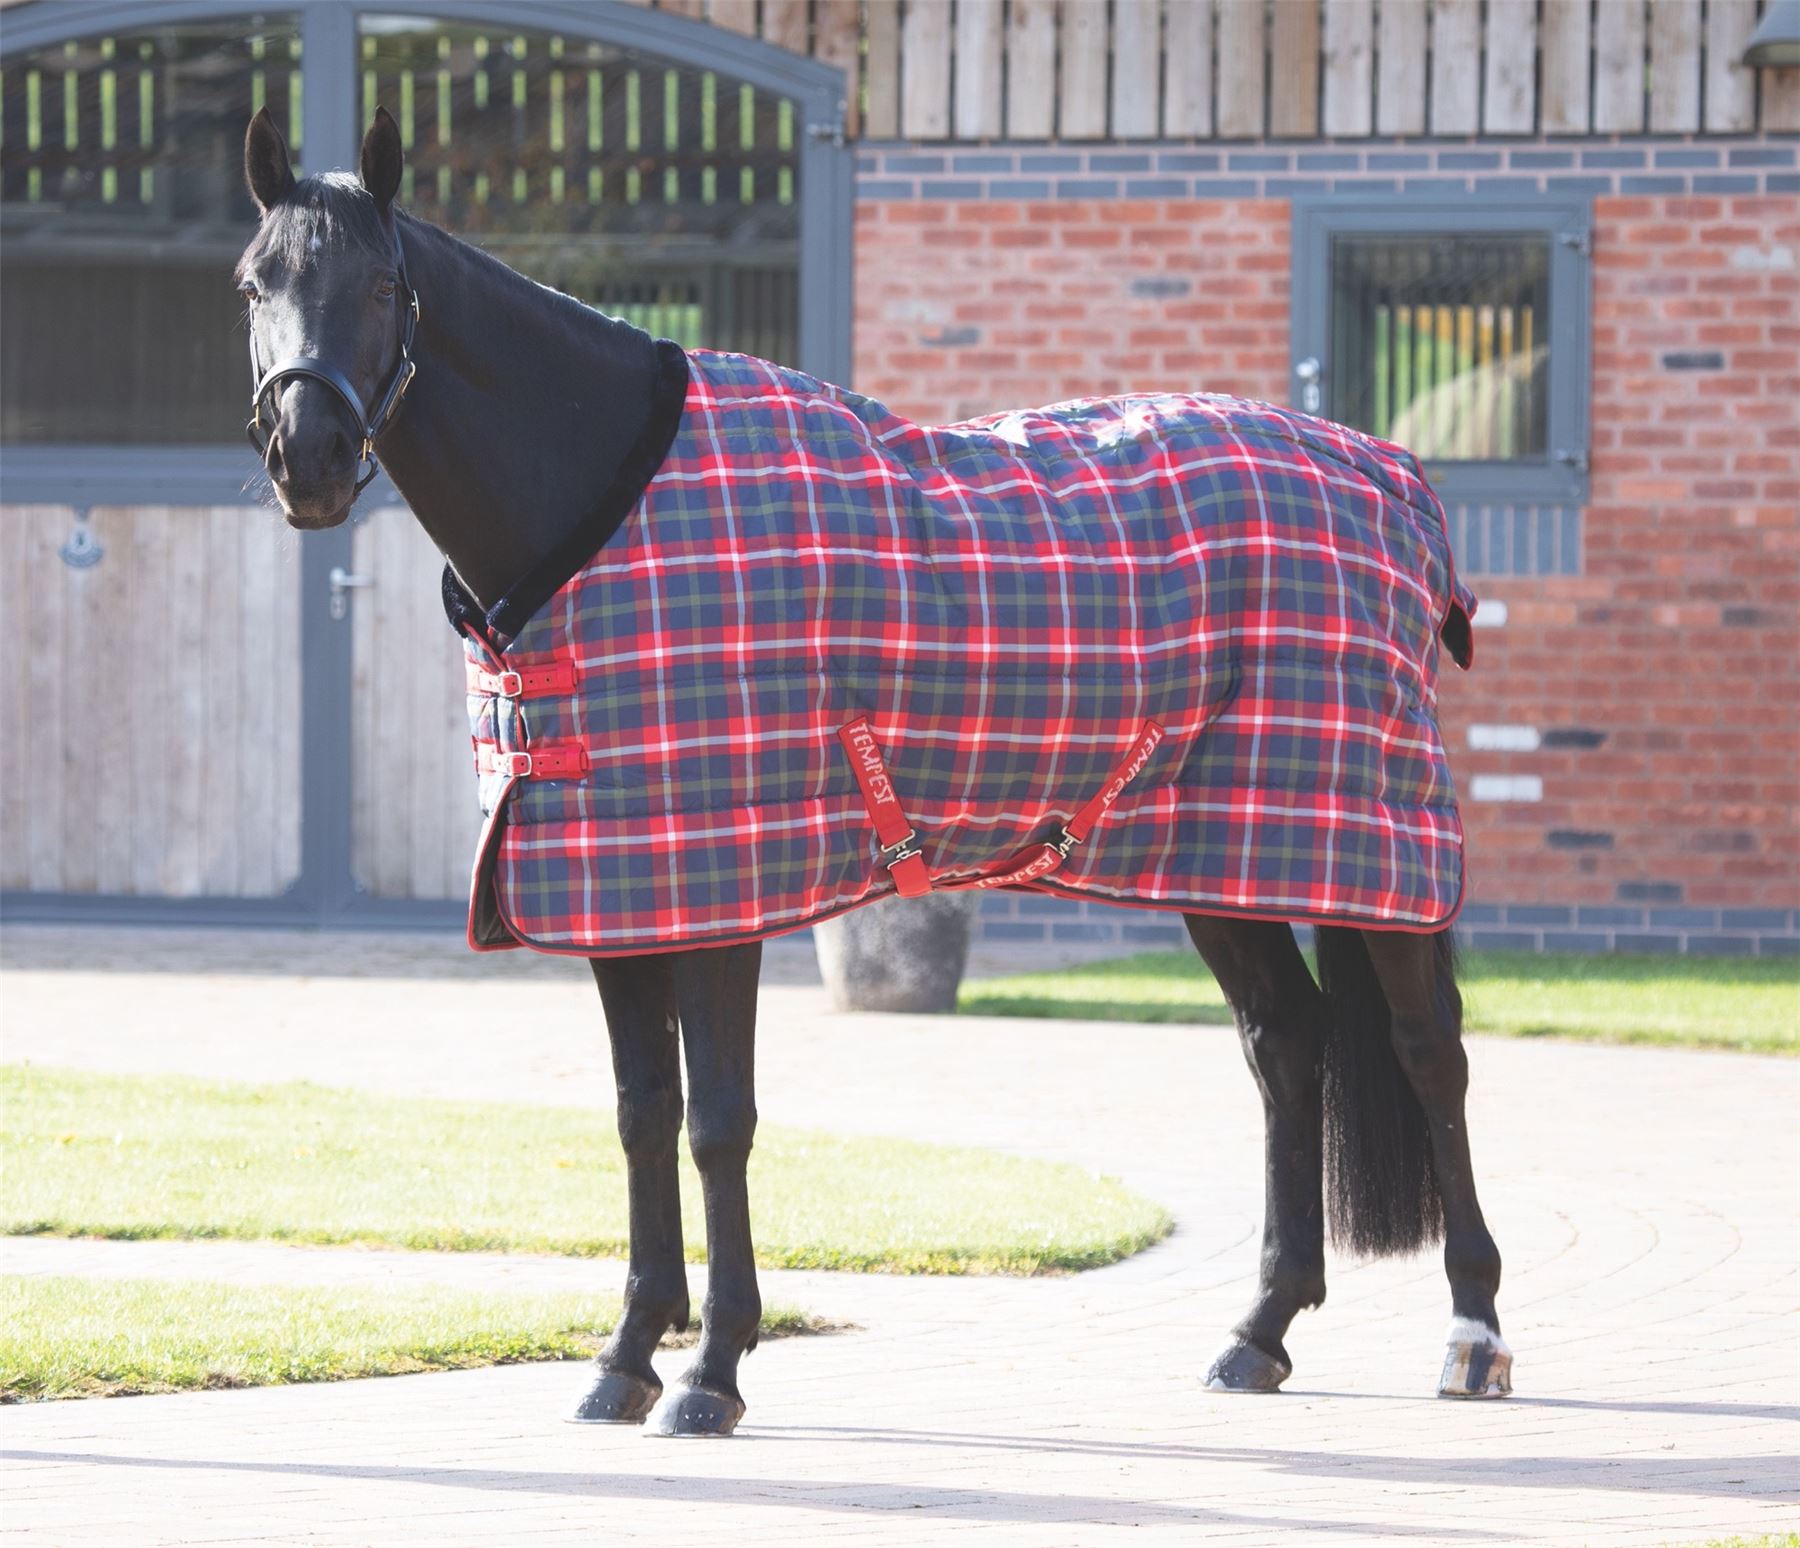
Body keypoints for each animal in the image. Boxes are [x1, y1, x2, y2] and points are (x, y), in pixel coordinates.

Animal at [235, 107, 1510, 1437]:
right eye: (252, 284)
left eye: (384, 287)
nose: (306, 456)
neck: (605, 504)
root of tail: (1394, 477)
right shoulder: (616, 894)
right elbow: (641, 1120)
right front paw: (627, 1356)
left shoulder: (722, 895)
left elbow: (717, 1122)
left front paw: (713, 1369)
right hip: (1226, 851)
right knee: (1286, 1046)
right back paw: (1259, 1331)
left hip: (1373, 847)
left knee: (1430, 1050)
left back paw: (1471, 1332)